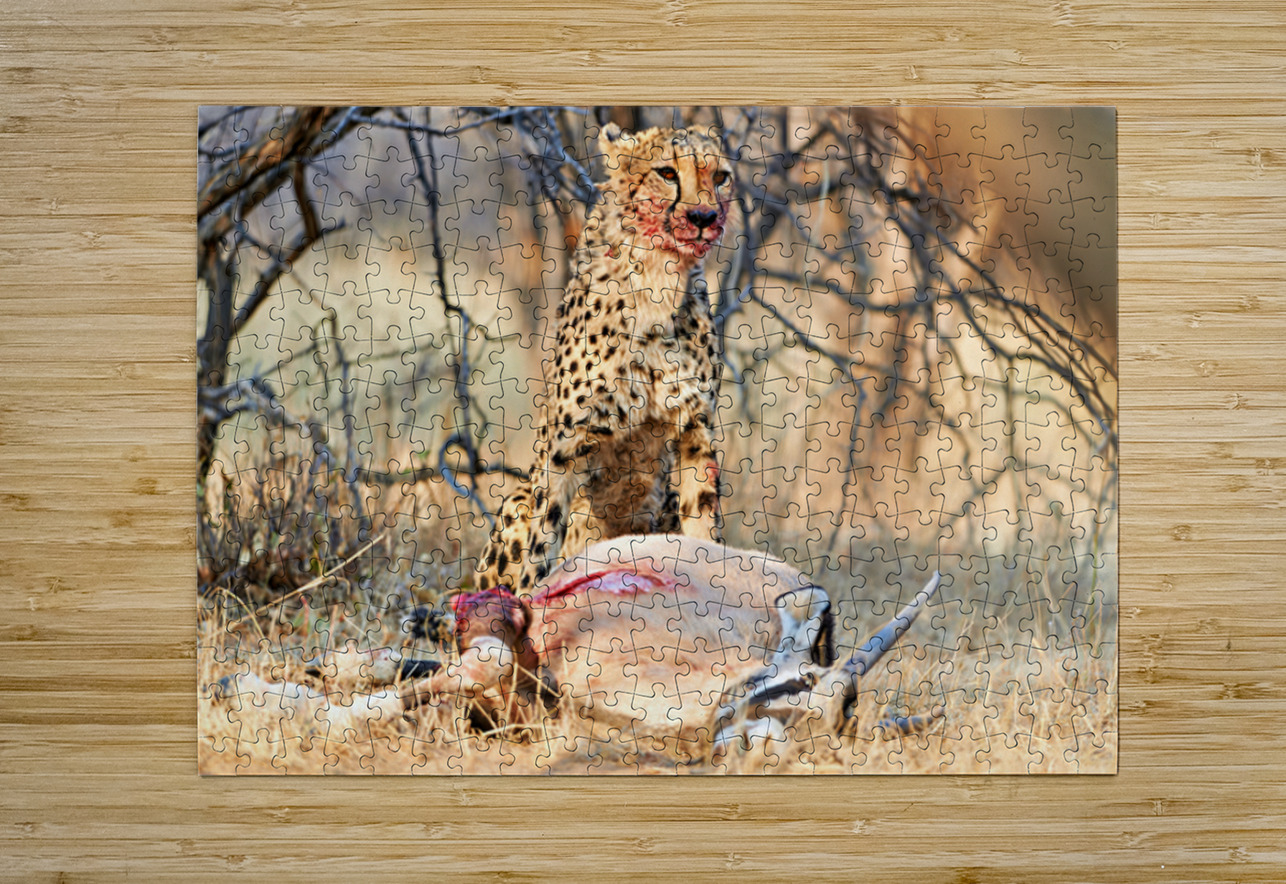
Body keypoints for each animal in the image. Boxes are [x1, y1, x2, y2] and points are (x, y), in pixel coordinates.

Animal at [477, 123, 736, 596]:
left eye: (721, 177)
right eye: (667, 173)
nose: (704, 217)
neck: (658, 279)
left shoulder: (694, 433)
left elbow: (705, 528)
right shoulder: (563, 447)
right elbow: (541, 545)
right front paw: (526, 605)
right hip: (517, 501)